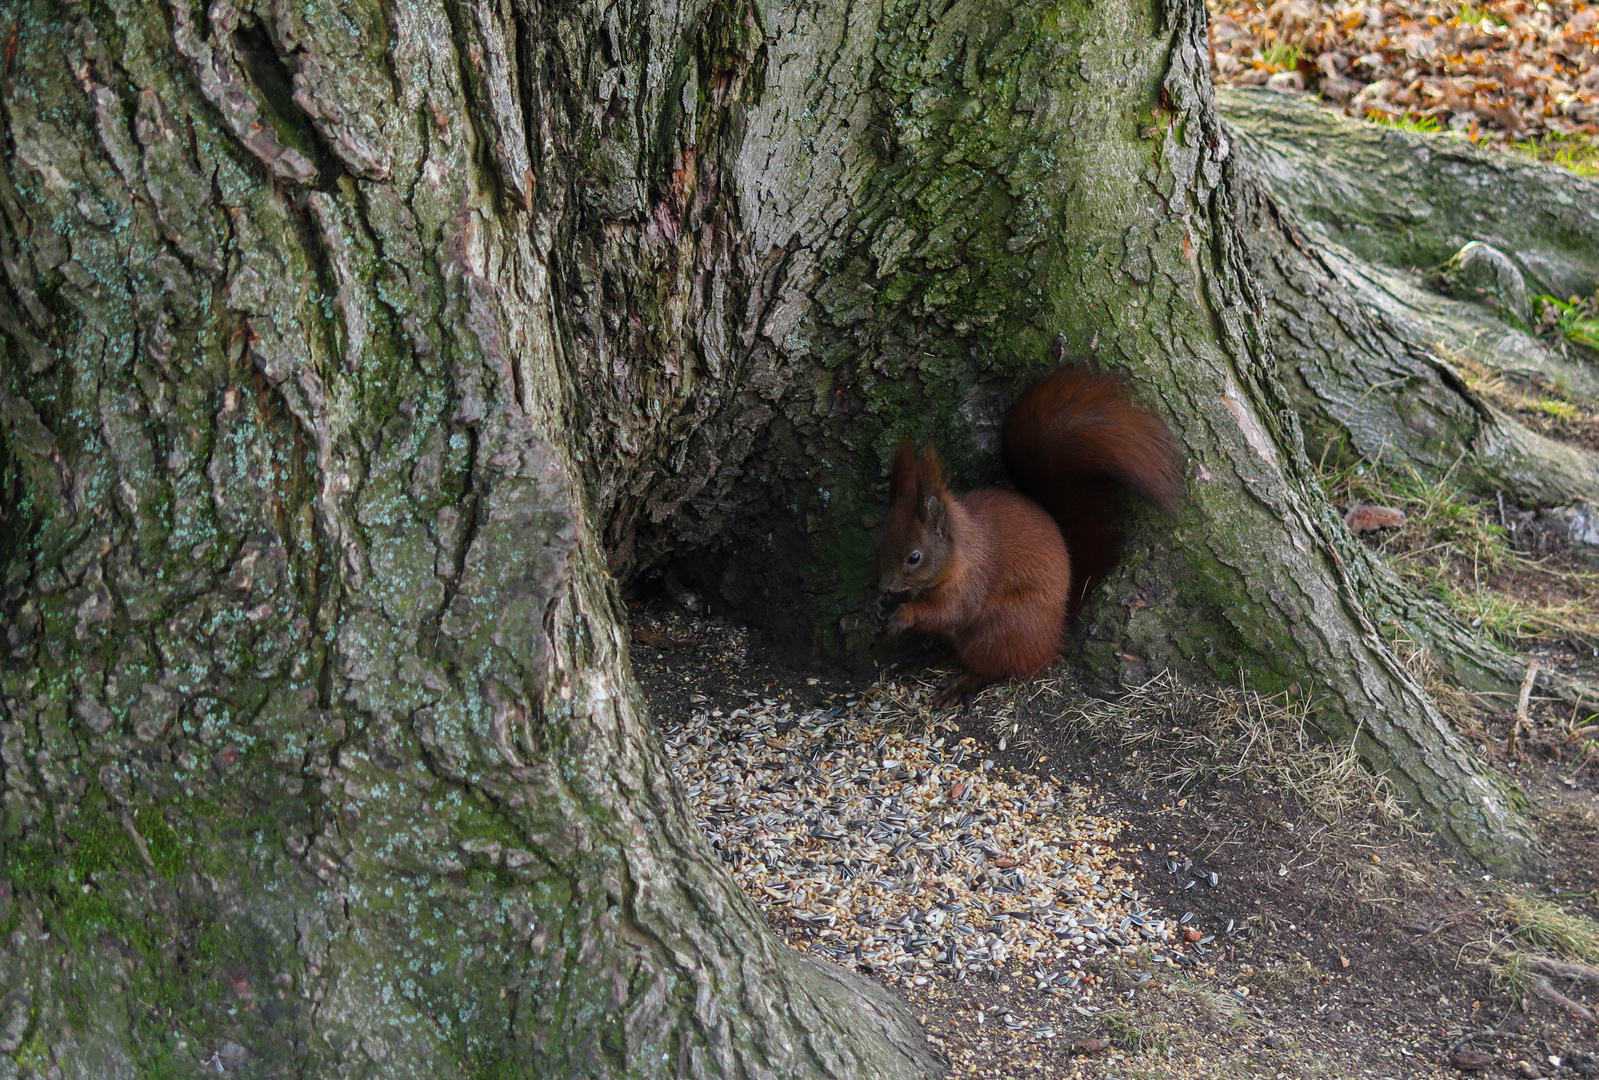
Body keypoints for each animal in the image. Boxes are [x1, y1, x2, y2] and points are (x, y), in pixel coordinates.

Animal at [869, 368, 1183, 704]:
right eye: (879, 544)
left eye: (914, 557)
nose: (884, 585)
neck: (960, 553)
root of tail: (1053, 633)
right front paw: (880, 603)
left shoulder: (971, 583)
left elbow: (947, 610)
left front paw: (903, 615)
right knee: (955, 651)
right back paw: (923, 658)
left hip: (1001, 628)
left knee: (992, 666)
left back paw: (960, 683)